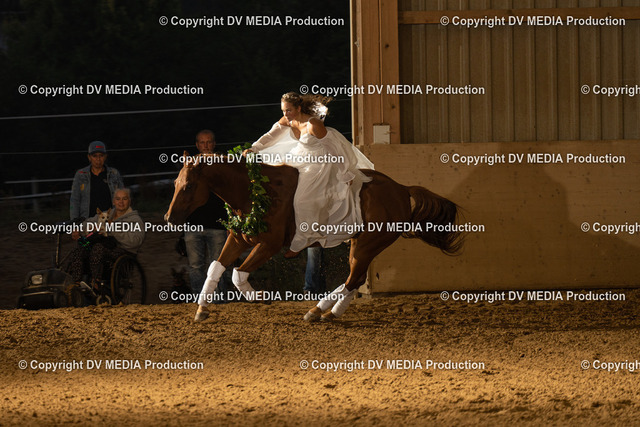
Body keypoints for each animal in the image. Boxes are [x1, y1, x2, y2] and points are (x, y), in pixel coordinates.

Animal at [164, 152, 463, 322]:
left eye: (188, 186)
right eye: (176, 183)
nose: (169, 218)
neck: (255, 191)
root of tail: (401, 189)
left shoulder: (268, 245)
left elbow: (238, 274)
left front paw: (259, 296)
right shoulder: (239, 240)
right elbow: (216, 268)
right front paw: (202, 309)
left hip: (368, 245)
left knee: (353, 279)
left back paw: (317, 310)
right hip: (361, 244)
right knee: (354, 280)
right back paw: (331, 313)